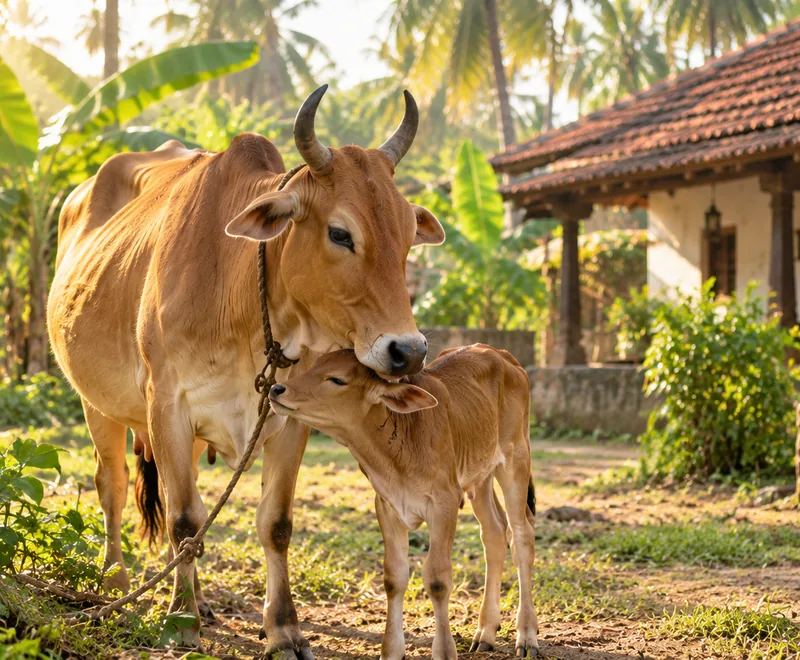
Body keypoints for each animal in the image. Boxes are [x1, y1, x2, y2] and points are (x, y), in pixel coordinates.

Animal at [46, 85, 445, 655]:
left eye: (410, 234)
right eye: (340, 233)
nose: (407, 352)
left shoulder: (291, 414)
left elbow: (272, 523)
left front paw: (283, 629)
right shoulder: (167, 405)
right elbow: (183, 519)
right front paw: (181, 621)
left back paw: (200, 599)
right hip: (96, 402)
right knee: (114, 486)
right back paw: (116, 583)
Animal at [269, 345, 540, 659]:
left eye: (337, 379)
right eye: (312, 367)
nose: (277, 388)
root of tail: (503, 354)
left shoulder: (445, 503)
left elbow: (437, 579)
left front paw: (444, 650)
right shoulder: (388, 506)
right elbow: (394, 578)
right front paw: (391, 650)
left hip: (515, 460)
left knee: (521, 536)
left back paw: (526, 635)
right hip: (479, 476)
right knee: (495, 533)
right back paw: (486, 631)